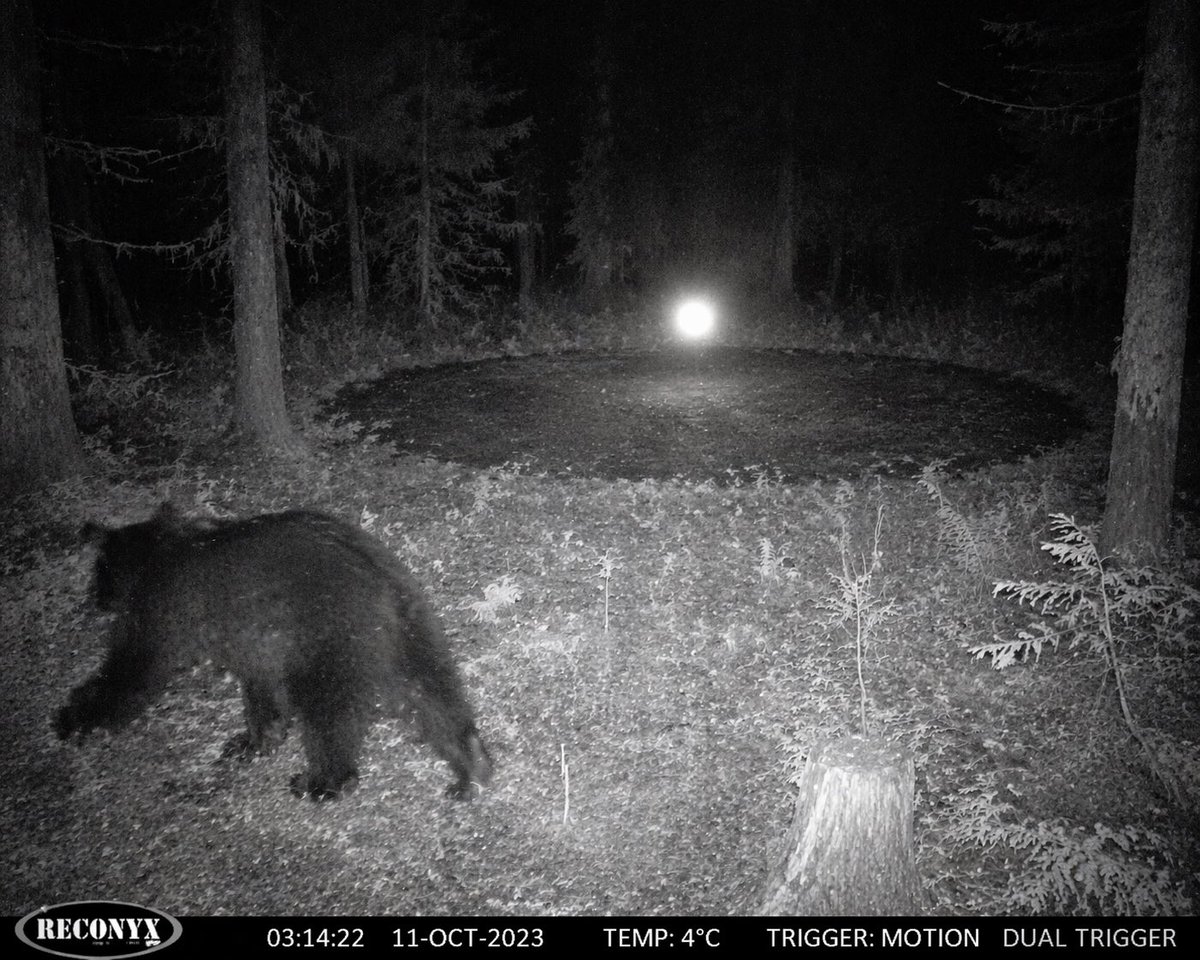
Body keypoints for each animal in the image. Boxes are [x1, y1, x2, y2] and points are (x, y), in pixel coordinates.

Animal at [54, 503, 492, 801]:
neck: (157, 552)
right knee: (433, 690)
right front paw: (254, 740)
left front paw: (74, 719)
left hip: (329, 636)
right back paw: (470, 766)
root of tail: (380, 581)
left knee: (329, 714)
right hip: (412, 631)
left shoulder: (161, 608)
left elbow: (134, 667)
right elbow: (260, 685)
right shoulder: (259, 638)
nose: (93, 598)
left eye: (98, 570)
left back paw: (324, 781)